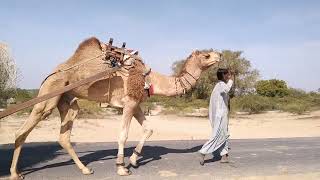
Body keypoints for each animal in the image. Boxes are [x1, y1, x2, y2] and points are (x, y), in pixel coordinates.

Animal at [8, 36, 221, 179]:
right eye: (206, 55)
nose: (219, 54)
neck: (150, 79)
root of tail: (50, 74)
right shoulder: (129, 103)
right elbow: (123, 135)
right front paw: (121, 167)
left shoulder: (136, 104)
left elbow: (148, 129)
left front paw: (133, 160)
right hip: (49, 95)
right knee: (22, 131)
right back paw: (15, 173)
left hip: (67, 101)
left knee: (64, 136)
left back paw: (85, 169)